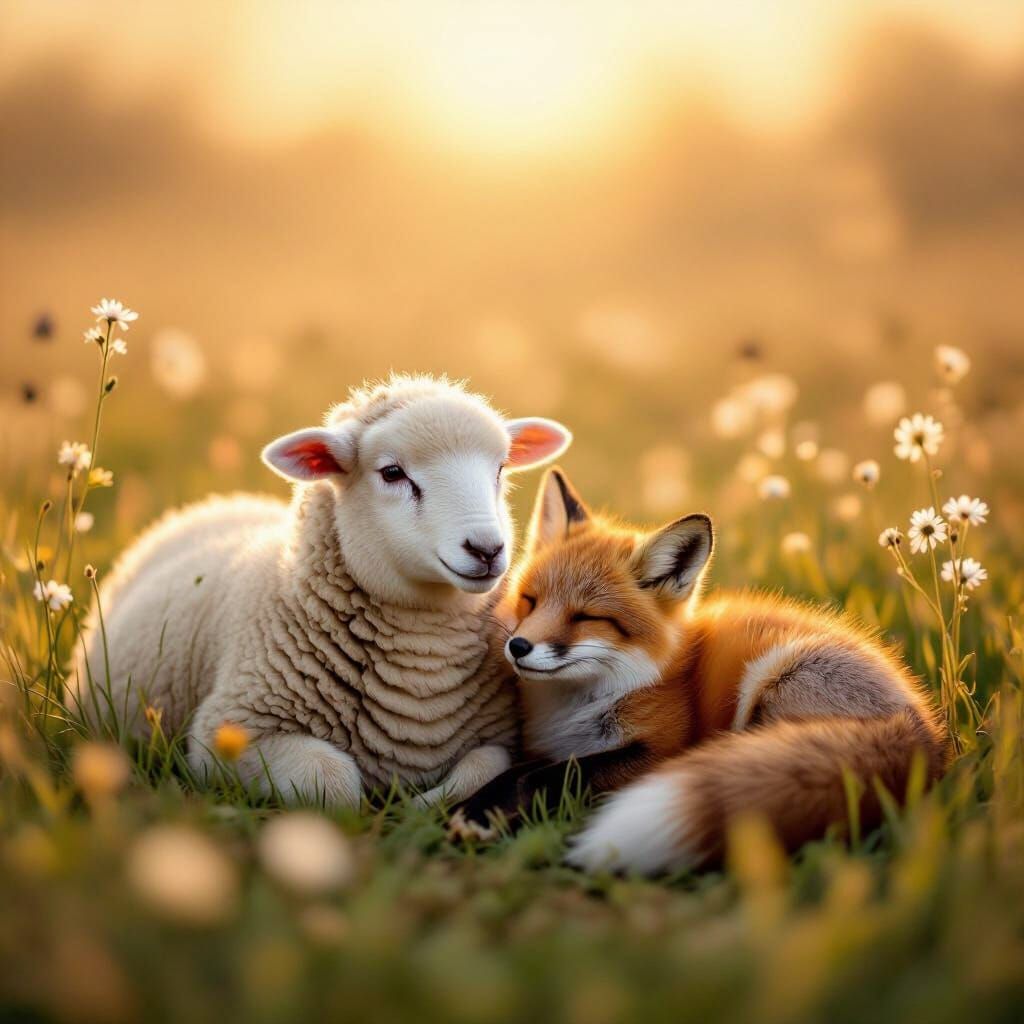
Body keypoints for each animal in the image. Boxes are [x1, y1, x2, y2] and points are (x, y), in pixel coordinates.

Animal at [73, 375, 571, 807]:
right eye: (392, 473)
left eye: (501, 468)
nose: (487, 549)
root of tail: (217, 504)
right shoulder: (230, 732)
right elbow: (335, 783)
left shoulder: (499, 739)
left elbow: (483, 770)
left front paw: (422, 807)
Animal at [457, 467, 950, 874]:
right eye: (530, 601)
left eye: (586, 617)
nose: (518, 647)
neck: (575, 709)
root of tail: (923, 728)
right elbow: (521, 767)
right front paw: (474, 803)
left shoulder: (657, 752)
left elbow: (550, 774)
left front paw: (485, 813)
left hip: (773, 677)